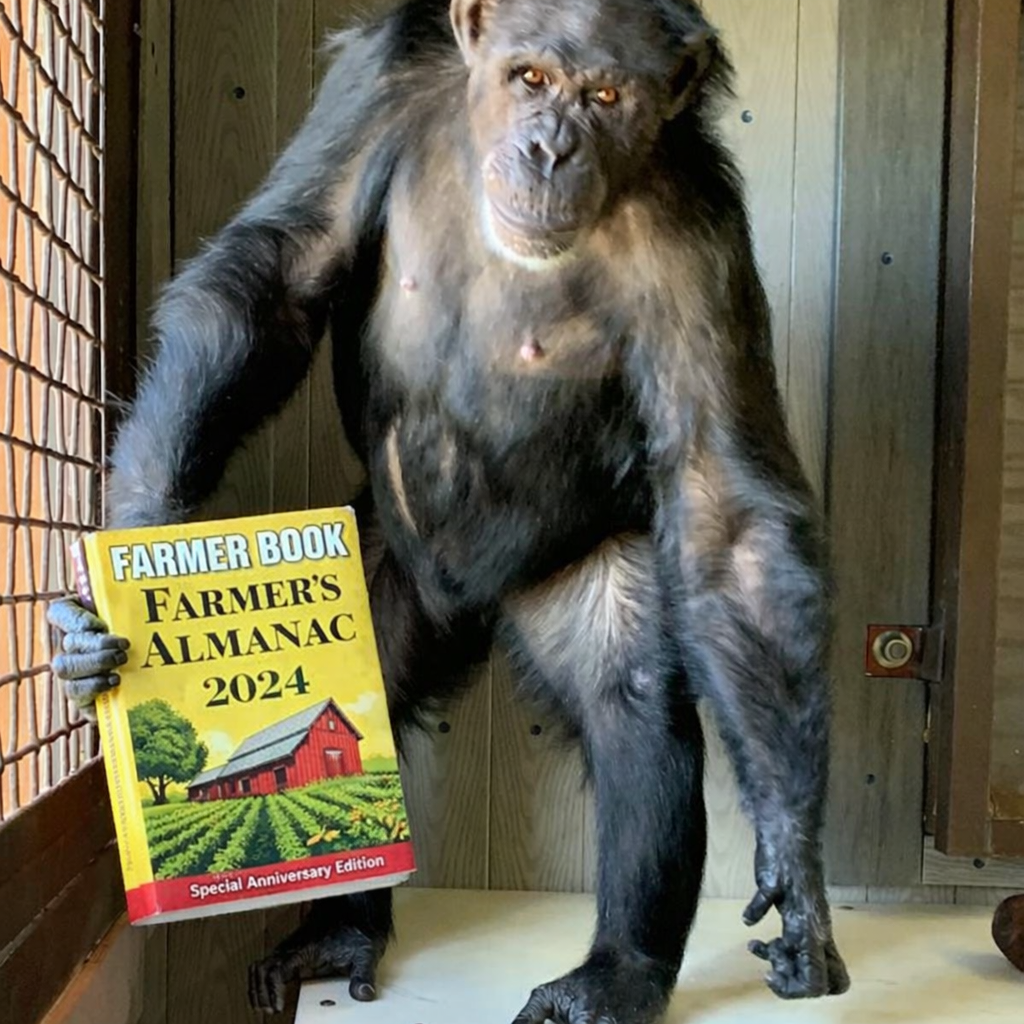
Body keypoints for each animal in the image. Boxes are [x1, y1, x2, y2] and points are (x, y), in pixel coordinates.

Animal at [47, 1, 850, 1020]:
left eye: (606, 95)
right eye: (530, 77)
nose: (551, 147)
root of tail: (476, 602)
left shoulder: (701, 238)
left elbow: (723, 498)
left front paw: (795, 867)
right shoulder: (379, 82)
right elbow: (279, 277)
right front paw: (136, 544)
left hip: (576, 568)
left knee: (631, 709)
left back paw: (615, 975)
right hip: (379, 567)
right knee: (380, 692)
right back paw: (343, 929)